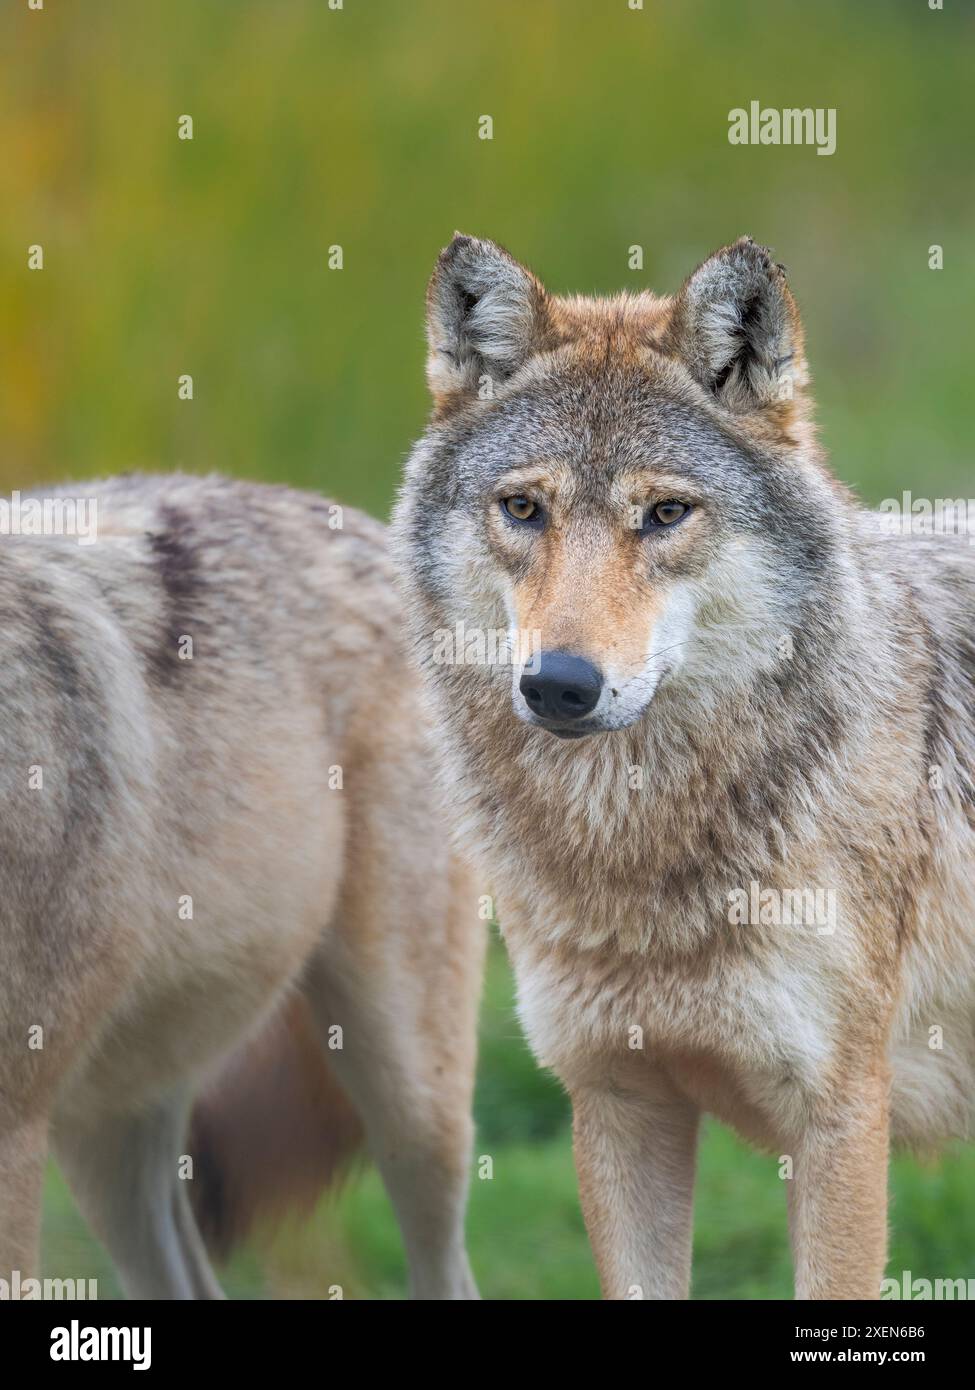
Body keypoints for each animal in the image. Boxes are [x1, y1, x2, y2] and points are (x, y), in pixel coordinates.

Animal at [389, 230, 973, 1301]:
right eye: (523, 508)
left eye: (664, 514)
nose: (560, 686)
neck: (636, 854)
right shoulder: (618, 1099)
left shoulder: (838, 1118)